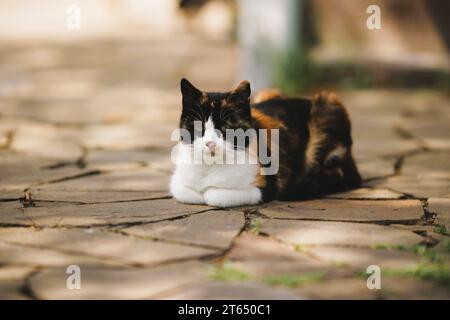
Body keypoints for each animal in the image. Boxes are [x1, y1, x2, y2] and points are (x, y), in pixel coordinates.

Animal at [170, 78, 362, 208]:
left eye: (226, 128)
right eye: (199, 127)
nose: (210, 144)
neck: (208, 169)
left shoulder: (264, 187)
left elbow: (212, 195)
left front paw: (208, 192)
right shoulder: (177, 182)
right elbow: (182, 190)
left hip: (328, 106)